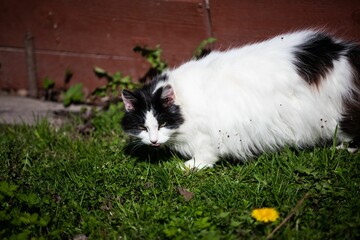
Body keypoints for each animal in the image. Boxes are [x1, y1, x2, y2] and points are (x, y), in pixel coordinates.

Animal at [121, 29, 360, 169]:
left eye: (162, 123)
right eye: (142, 127)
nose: (153, 141)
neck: (184, 103)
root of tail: (341, 50)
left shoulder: (208, 133)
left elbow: (204, 154)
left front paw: (190, 167)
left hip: (331, 114)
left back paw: (341, 151)